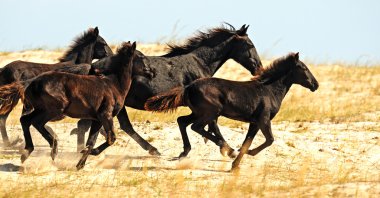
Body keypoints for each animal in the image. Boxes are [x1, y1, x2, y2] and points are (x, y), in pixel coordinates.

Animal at [0, 41, 137, 169]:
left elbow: (91, 142)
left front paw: (80, 164)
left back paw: (27, 151)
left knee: (25, 120)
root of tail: (30, 82)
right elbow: (111, 138)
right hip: (54, 110)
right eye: (138, 56)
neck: (114, 84)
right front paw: (88, 154)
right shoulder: (106, 115)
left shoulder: (97, 119)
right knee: (35, 122)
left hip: (41, 109)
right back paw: (52, 149)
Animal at [74, 24, 264, 155]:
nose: (259, 69)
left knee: (119, 126)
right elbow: (212, 125)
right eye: (250, 45)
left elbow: (198, 124)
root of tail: (93, 66)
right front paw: (227, 149)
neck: (199, 61)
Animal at [144, 52, 320, 170]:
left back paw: (186, 152)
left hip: (198, 112)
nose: (315, 85)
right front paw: (247, 154)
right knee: (196, 127)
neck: (269, 90)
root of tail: (188, 87)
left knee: (182, 121)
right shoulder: (263, 120)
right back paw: (225, 147)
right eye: (303, 67)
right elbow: (269, 140)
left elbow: (247, 142)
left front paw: (236, 165)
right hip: (211, 112)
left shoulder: (254, 122)